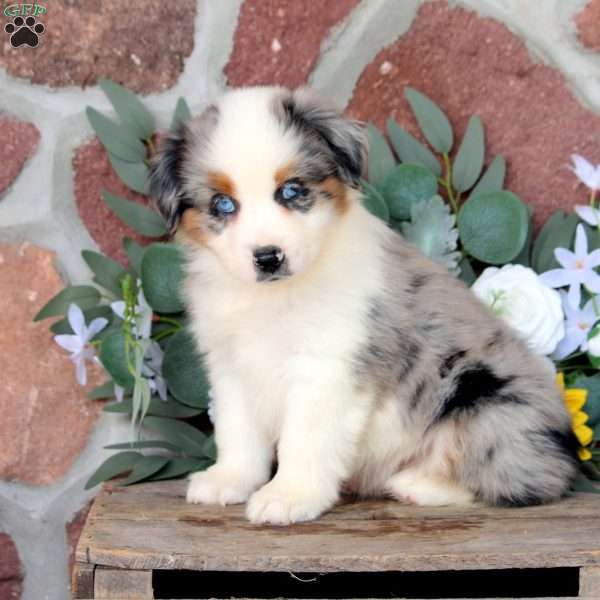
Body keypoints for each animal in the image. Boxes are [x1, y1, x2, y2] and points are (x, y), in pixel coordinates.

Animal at [149, 85, 576, 524]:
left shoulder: (327, 366)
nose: (268, 258)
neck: (273, 296)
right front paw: (229, 480)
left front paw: (288, 496)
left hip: (484, 399)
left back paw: (417, 485)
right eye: (222, 204)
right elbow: (238, 433)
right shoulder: (231, 366)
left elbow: (305, 438)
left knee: (521, 479)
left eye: (291, 190)